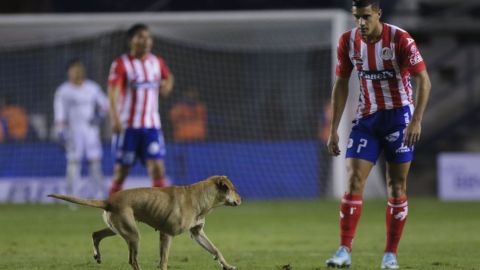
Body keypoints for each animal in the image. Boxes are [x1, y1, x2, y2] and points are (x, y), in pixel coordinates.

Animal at [48, 175, 240, 270]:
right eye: (233, 189)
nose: (240, 199)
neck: (200, 198)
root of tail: (108, 201)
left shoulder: (197, 233)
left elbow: (215, 250)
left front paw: (227, 266)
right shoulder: (167, 234)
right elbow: (163, 261)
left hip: (118, 229)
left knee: (96, 234)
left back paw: (97, 255)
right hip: (133, 235)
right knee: (132, 260)